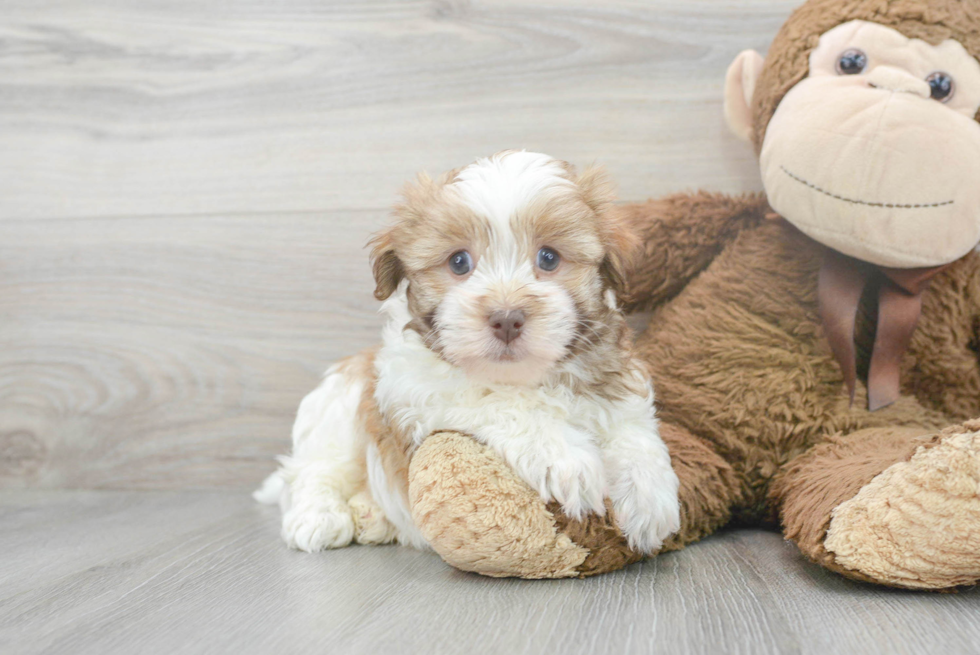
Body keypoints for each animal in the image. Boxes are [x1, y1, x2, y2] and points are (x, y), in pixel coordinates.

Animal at [256, 152, 676, 552]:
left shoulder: (616, 383)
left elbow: (633, 430)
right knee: (313, 471)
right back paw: (318, 517)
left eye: (549, 258)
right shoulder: (418, 389)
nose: (506, 319)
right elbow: (501, 401)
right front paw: (568, 459)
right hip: (336, 412)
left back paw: (372, 516)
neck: (527, 375)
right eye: (459, 262)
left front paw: (650, 495)